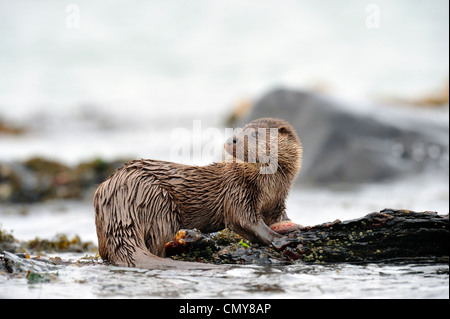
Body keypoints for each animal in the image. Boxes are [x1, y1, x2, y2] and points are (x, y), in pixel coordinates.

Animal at [94, 117, 302, 268]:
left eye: (256, 134)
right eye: (237, 130)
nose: (231, 140)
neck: (269, 187)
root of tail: (119, 207)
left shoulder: (278, 200)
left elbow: (279, 217)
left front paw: (293, 226)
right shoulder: (237, 190)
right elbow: (244, 221)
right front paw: (279, 239)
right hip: (158, 201)